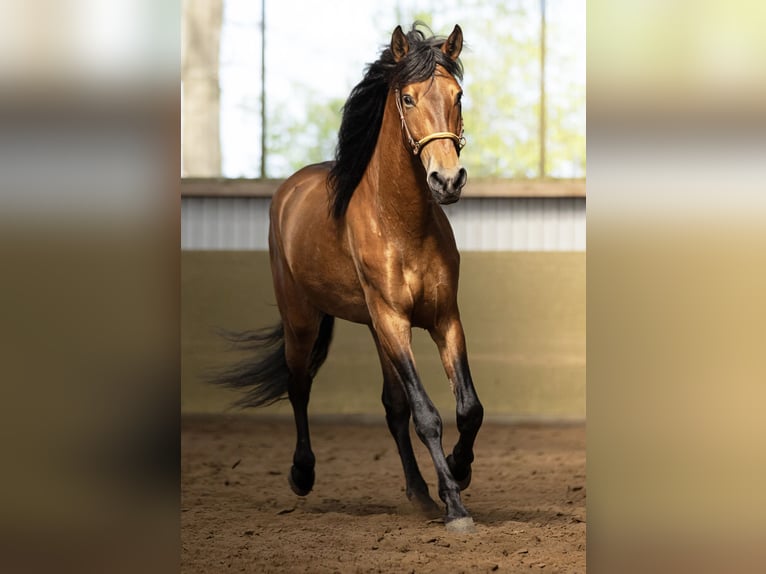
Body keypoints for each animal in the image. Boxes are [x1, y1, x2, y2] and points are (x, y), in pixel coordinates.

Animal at [213, 23, 484, 536]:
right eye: (408, 99)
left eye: (458, 95)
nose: (447, 181)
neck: (401, 224)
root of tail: (288, 191)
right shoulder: (394, 321)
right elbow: (428, 415)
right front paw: (456, 507)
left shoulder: (446, 320)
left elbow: (467, 408)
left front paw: (458, 473)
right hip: (304, 321)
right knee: (299, 385)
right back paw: (302, 475)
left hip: (377, 332)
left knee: (393, 407)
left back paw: (419, 493)